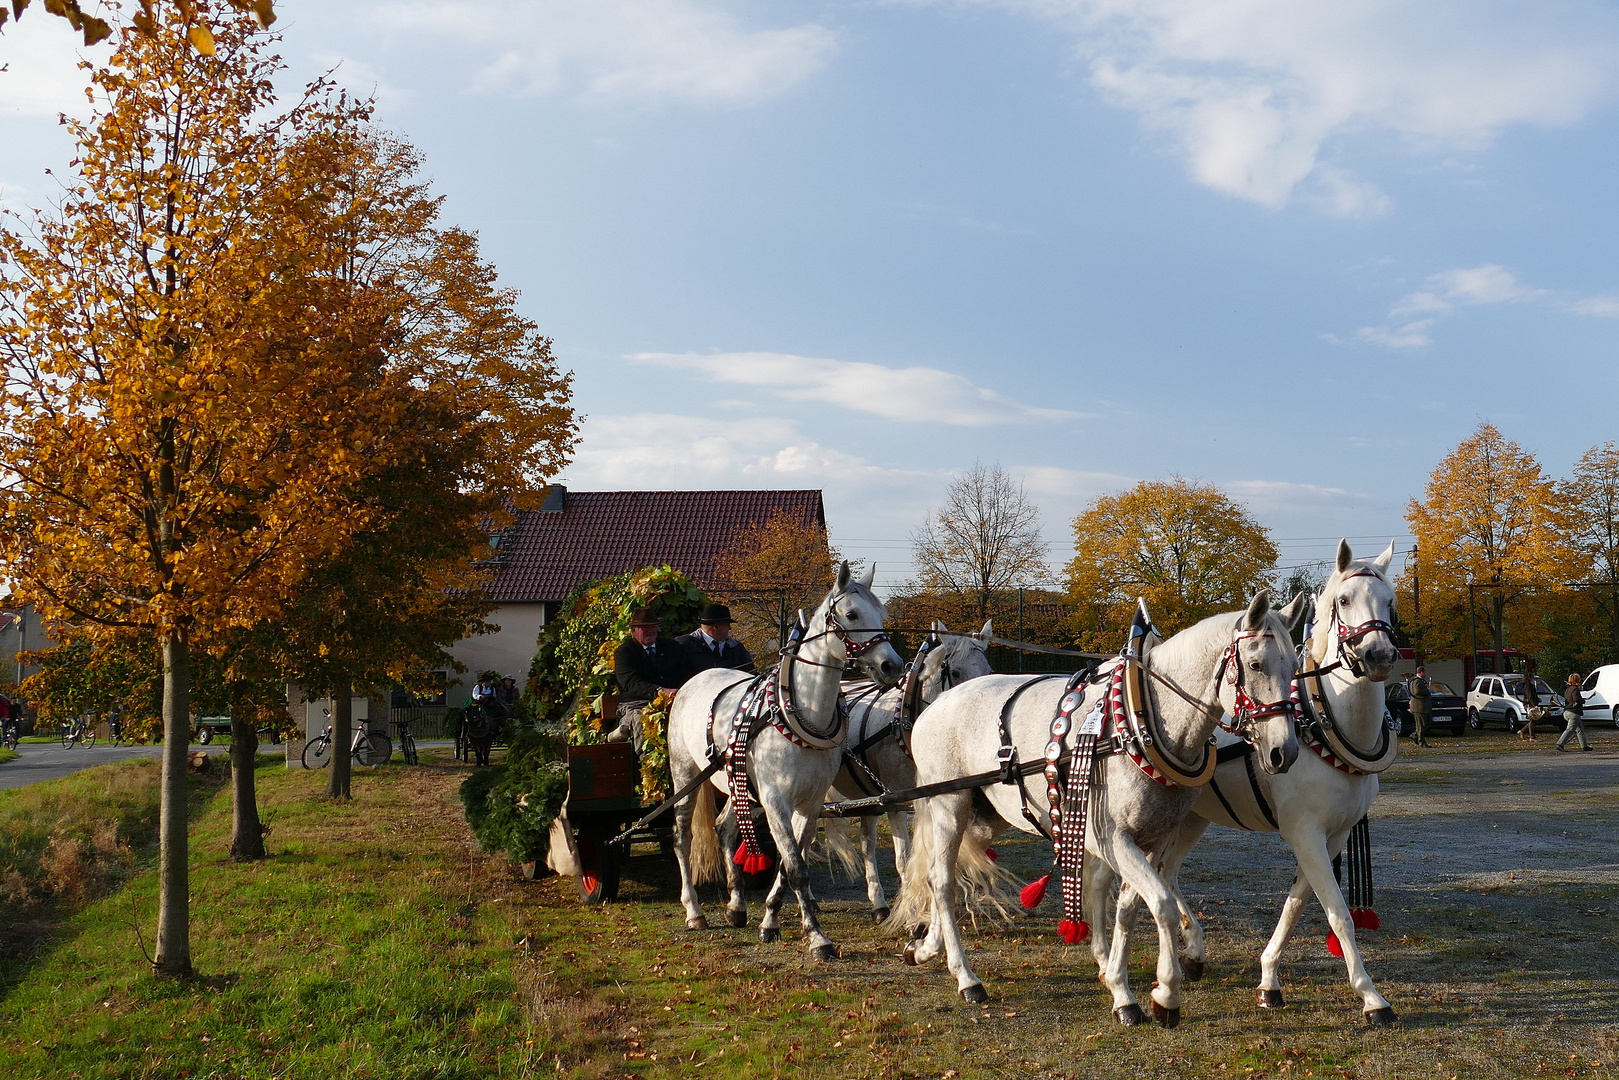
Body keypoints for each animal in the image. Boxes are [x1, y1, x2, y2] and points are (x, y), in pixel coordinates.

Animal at [663, 563, 906, 958]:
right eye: (852, 614)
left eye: (881, 615)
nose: (892, 665)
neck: (801, 714)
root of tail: (696, 679)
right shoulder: (777, 800)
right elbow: (794, 866)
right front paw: (817, 937)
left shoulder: (809, 802)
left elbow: (794, 861)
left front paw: (773, 921)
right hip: (685, 776)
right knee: (682, 836)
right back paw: (694, 910)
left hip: (739, 785)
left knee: (725, 828)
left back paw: (736, 906)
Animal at [835, 625, 997, 919]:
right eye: (956, 673)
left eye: (988, 670)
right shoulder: (896, 800)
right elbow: (905, 859)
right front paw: (914, 913)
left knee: (866, 843)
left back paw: (878, 903)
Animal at [900, 595, 1301, 1029]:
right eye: (1256, 664)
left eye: (1295, 667)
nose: (1284, 752)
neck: (1140, 723)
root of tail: (938, 704)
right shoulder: (1113, 838)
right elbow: (1161, 904)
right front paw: (1165, 994)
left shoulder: (1157, 837)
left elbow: (1128, 909)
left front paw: (1120, 986)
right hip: (949, 806)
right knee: (941, 880)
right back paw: (966, 977)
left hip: (988, 816)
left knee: (945, 871)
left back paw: (927, 947)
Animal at [1100, 540, 1405, 1029]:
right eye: (1343, 600)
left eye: (1390, 602)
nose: (1378, 655)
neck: (1324, 722)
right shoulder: (1304, 832)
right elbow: (1338, 914)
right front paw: (1372, 997)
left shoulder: (1333, 836)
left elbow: (1297, 905)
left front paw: (1268, 981)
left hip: (1190, 820)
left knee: (1166, 875)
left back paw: (1192, 952)